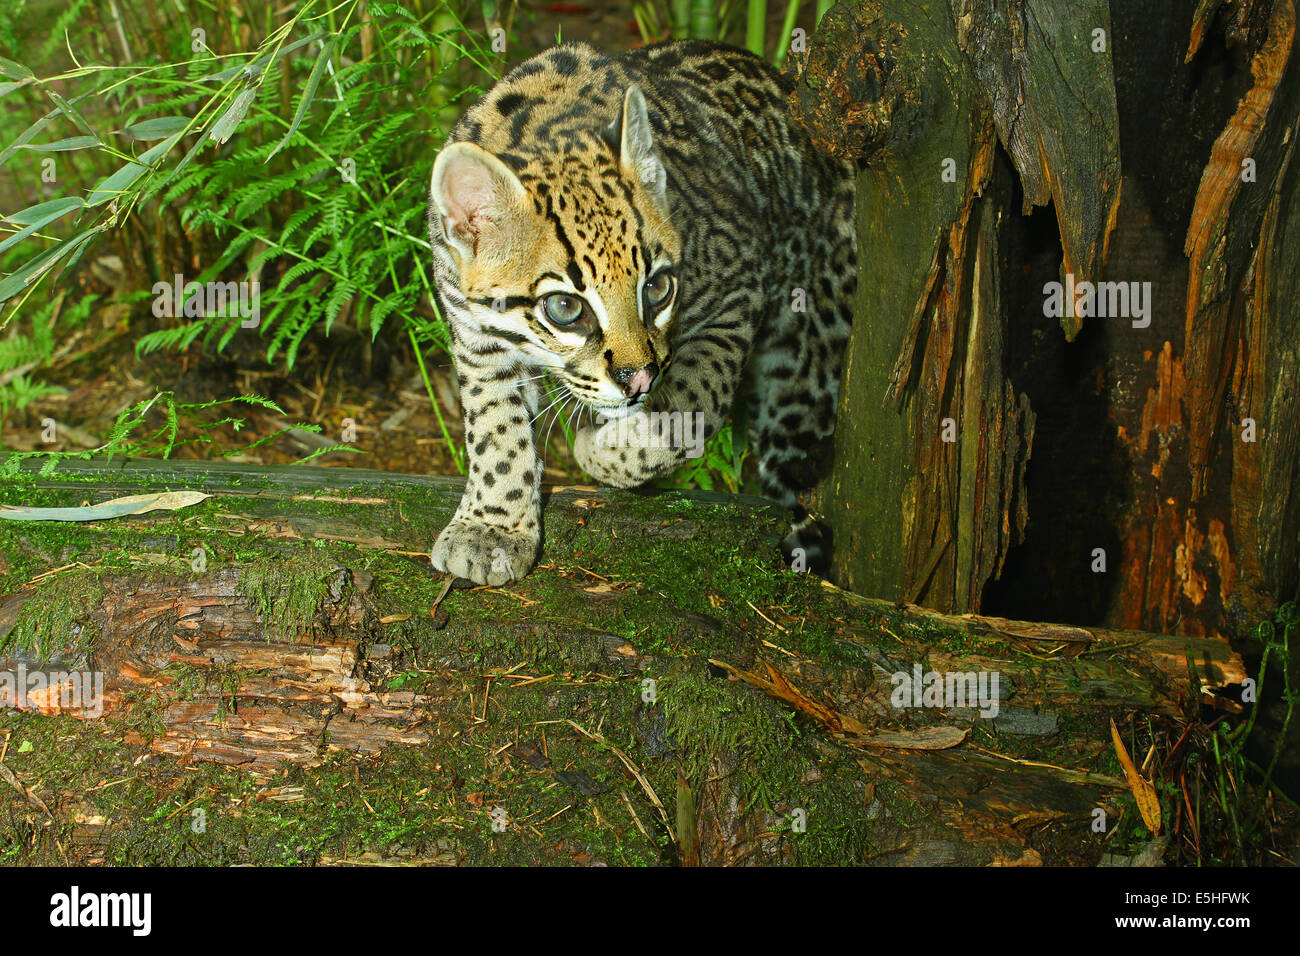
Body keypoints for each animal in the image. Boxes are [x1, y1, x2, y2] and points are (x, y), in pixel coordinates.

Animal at [426, 41, 857, 587]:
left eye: (656, 288)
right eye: (565, 307)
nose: (639, 380)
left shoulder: (738, 286)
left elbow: (693, 403)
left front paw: (599, 448)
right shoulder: (474, 333)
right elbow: (494, 425)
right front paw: (492, 527)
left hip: (805, 374)